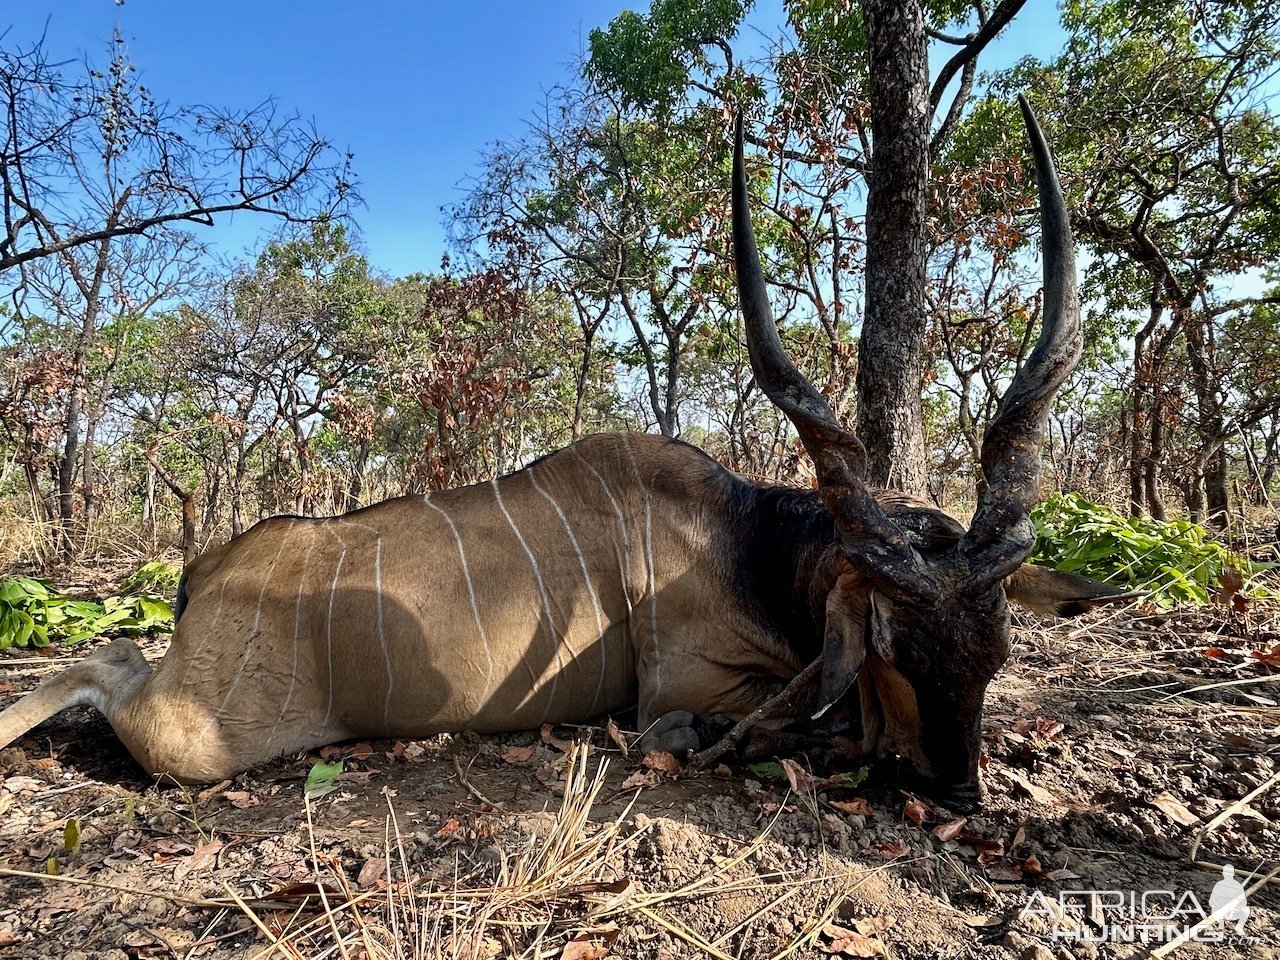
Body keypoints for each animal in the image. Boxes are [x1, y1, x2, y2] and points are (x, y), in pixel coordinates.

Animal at [0, 101, 1126, 814]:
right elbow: (781, 724)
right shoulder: (686, 685)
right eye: (889, 646)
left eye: (997, 653)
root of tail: (207, 573)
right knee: (103, 664)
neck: (751, 544)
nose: (958, 792)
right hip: (199, 742)